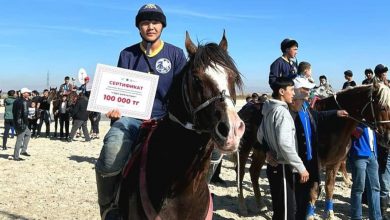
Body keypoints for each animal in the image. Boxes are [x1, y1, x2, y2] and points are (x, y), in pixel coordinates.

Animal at [236, 82, 390, 218]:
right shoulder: (314, 164)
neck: (332, 124)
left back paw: (260, 204)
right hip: (245, 149)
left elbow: (329, 187)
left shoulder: (334, 163)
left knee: (254, 172)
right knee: (241, 173)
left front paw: (329, 213)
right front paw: (309, 215)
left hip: (260, 151)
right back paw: (242, 206)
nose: (387, 139)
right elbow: (314, 190)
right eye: (382, 107)